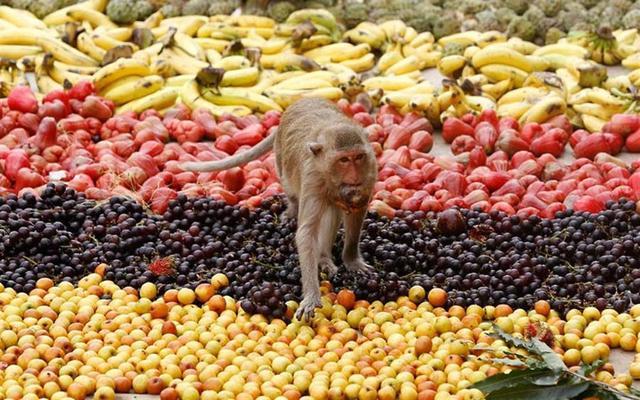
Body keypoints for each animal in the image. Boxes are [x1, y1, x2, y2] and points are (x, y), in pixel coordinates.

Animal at [179, 98, 380, 320]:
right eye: (344, 160)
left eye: (358, 157)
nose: (354, 176)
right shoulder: (313, 177)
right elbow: (306, 233)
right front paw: (312, 295)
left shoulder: (370, 170)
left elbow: (357, 214)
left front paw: (352, 260)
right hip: (281, 158)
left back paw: (324, 257)